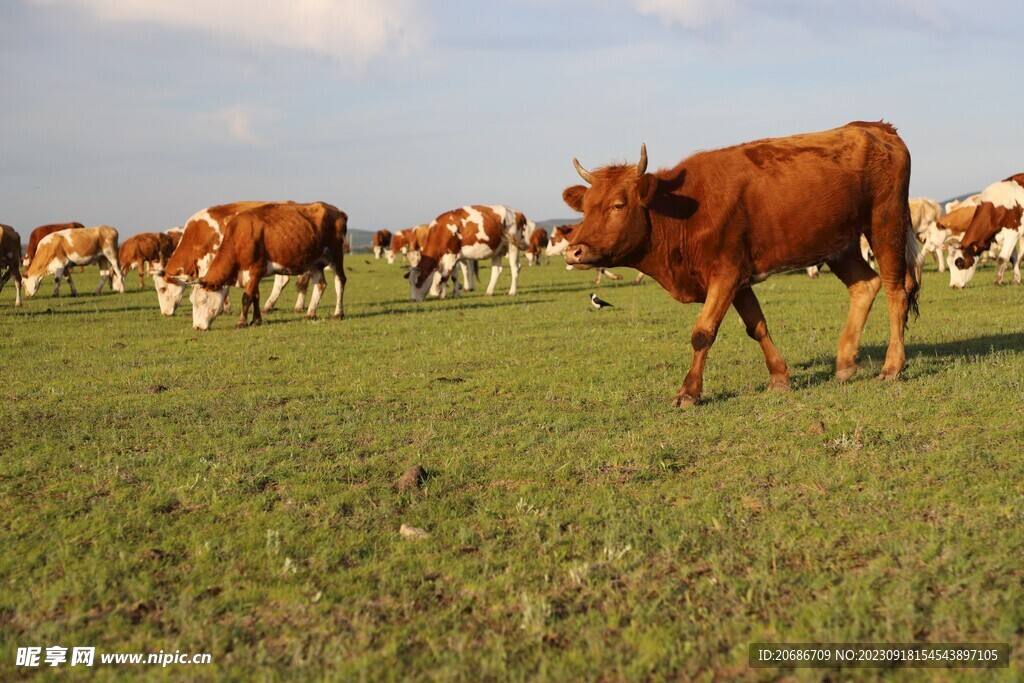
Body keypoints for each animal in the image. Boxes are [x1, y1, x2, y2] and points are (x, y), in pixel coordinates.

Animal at [191, 200, 348, 331]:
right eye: (192, 301)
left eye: (203, 301)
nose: (197, 327)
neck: (240, 236)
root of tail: (337, 211)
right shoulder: (253, 275)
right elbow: (255, 296)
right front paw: (256, 320)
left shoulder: (256, 269)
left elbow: (246, 297)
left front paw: (242, 322)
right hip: (315, 262)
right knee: (320, 284)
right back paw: (310, 313)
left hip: (336, 254)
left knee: (340, 281)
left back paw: (338, 313)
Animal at [561, 120, 921, 409]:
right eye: (586, 207)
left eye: (618, 205)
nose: (574, 251)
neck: (681, 213)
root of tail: (876, 127)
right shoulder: (739, 279)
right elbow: (756, 326)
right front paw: (779, 377)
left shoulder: (726, 273)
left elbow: (703, 332)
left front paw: (689, 392)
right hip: (840, 244)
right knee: (865, 285)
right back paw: (845, 361)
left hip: (885, 222)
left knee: (895, 290)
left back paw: (892, 366)